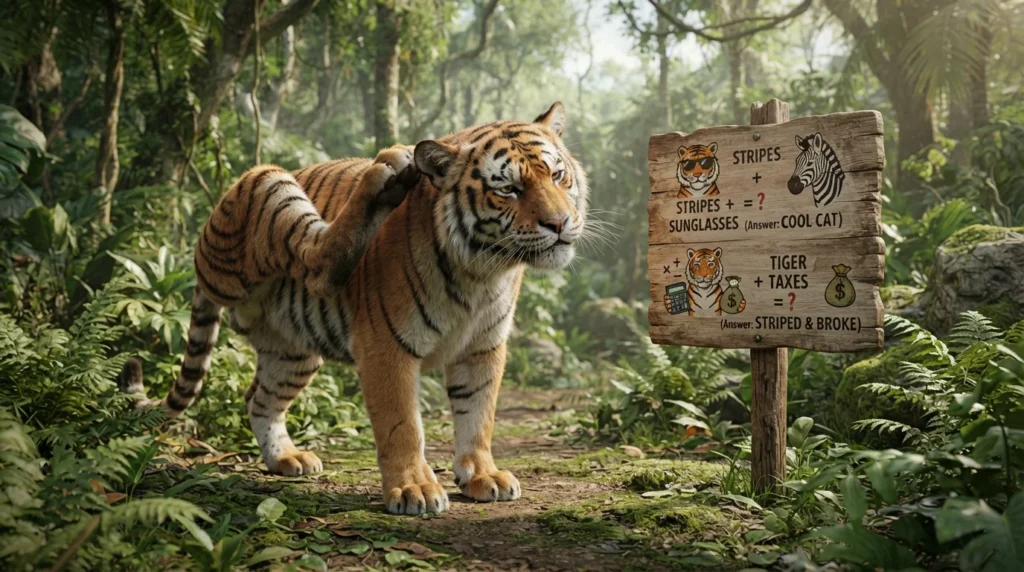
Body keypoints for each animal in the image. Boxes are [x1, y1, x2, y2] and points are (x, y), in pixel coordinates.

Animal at [120, 102, 588, 516]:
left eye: (557, 175)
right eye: (508, 188)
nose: (560, 223)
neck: (484, 271)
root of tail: (202, 265)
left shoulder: (483, 348)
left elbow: (478, 415)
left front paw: (482, 475)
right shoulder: (387, 346)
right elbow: (402, 425)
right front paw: (414, 489)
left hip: (293, 351)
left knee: (259, 398)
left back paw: (285, 458)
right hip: (264, 189)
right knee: (317, 263)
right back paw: (387, 171)